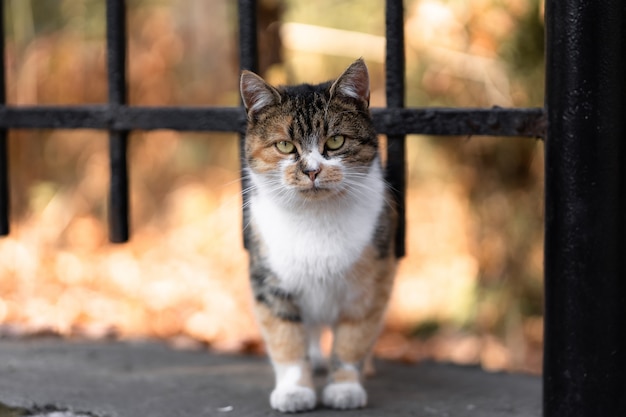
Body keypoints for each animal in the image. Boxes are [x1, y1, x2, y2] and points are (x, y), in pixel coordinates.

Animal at [239, 59, 394, 412]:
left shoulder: (368, 287)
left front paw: (345, 388)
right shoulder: (271, 283)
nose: (311, 170)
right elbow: (287, 341)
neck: (315, 219)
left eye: (335, 141)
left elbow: (352, 341)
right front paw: (294, 391)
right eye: (285, 145)